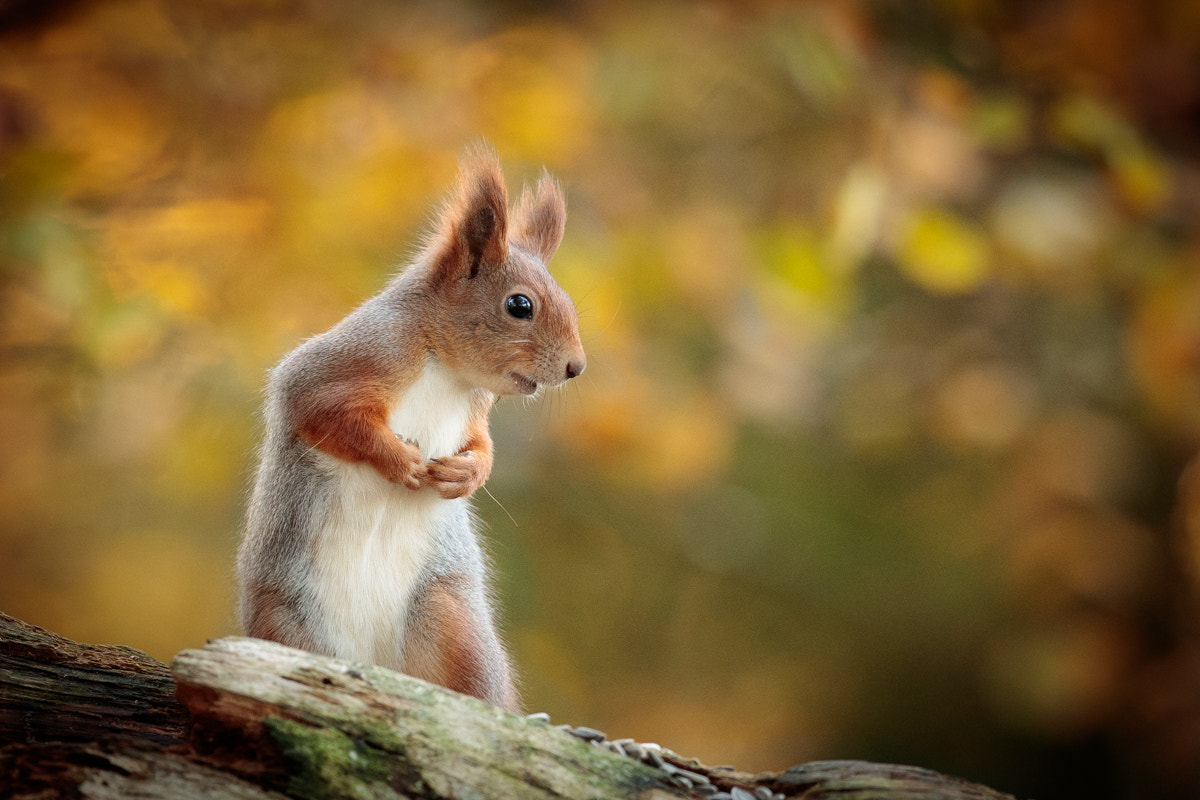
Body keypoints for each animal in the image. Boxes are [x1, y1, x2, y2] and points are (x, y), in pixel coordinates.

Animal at [235, 146, 585, 710]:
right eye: (520, 305)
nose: (577, 367)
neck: (445, 367)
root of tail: (374, 665)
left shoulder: (475, 410)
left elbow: (482, 446)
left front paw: (464, 475)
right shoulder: (350, 363)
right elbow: (321, 412)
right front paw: (400, 461)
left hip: (449, 618)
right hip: (285, 626)